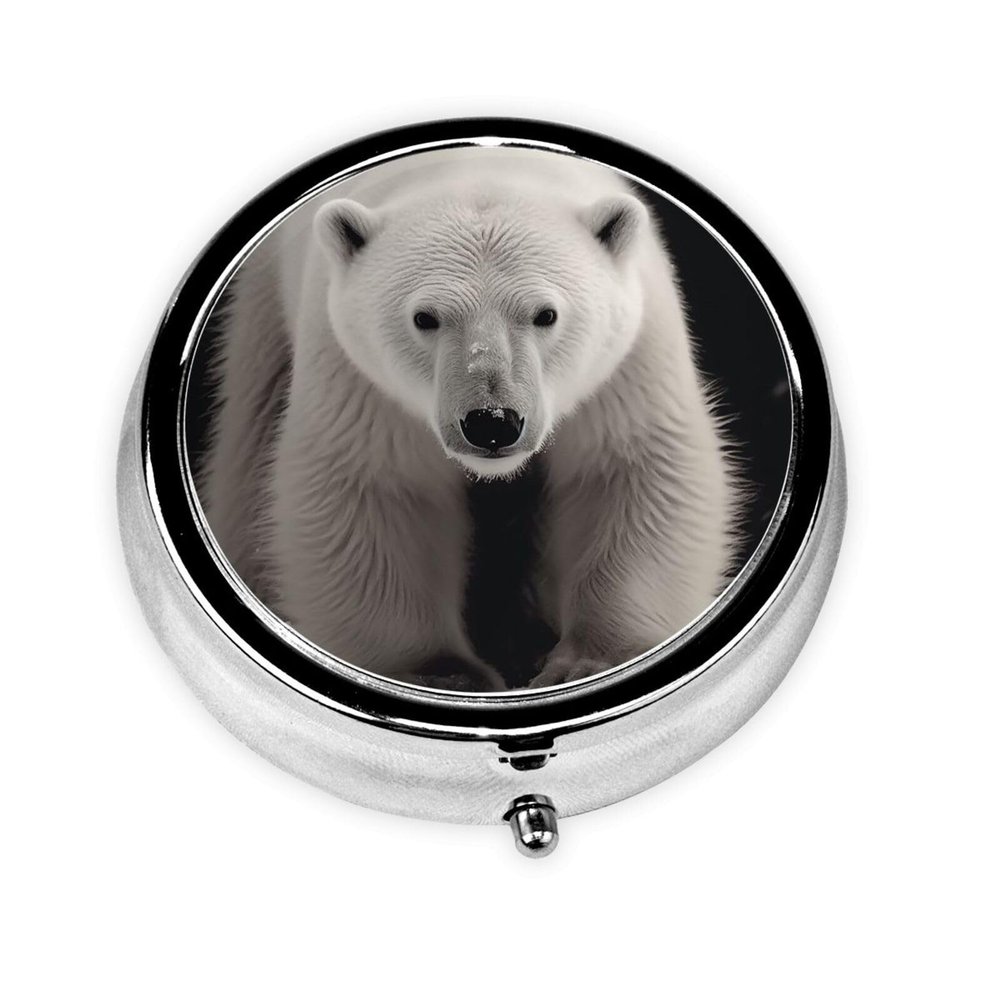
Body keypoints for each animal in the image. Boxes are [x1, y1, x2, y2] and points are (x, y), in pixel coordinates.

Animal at [200, 146, 737, 691]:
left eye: (546, 314)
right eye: (425, 317)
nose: (492, 421)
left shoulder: (626, 359)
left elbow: (627, 470)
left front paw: (591, 662)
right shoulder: (358, 375)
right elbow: (379, 490)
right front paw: (444, 676)